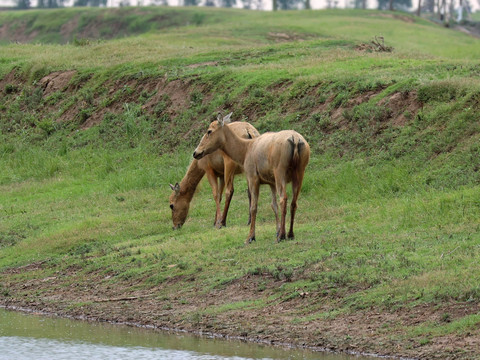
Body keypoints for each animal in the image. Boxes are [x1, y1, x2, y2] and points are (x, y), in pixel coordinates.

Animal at [193, 113, 310, 242]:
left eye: (209, 131)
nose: (196, 152)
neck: (244, 152)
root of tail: (296, 139)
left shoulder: (253, 176)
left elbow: (253, 207)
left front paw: (250, 237)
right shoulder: (271, 182)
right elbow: (273, 205)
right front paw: (277, 229)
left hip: (280, 171)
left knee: (283, 198)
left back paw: (281, 236)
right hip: (300, 171)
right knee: (294, 202)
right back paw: (290, 234)